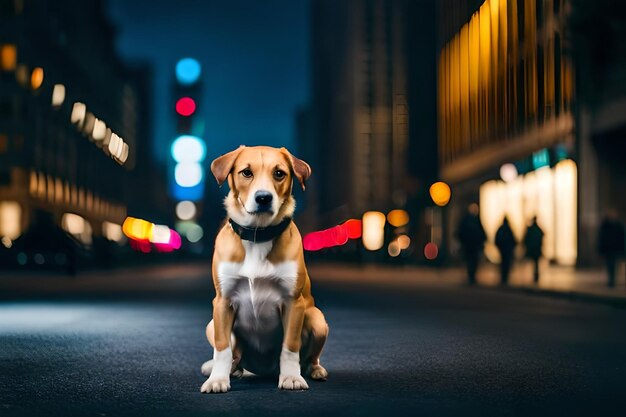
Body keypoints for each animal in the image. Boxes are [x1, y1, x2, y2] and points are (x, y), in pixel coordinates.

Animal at [200, 145, 330, 392]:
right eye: (246, 173)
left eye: (279, 173)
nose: (263, 198)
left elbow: (290, 347)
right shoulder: (222, 302)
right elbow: (222, 348)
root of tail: (261, 370)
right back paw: (230, 370)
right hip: (211, 324)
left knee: (311, 356)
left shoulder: (293, 303)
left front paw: (291, 377)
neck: (257, 236)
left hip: (317, 319)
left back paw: (314, 370)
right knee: (233, 356)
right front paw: (217, 379)